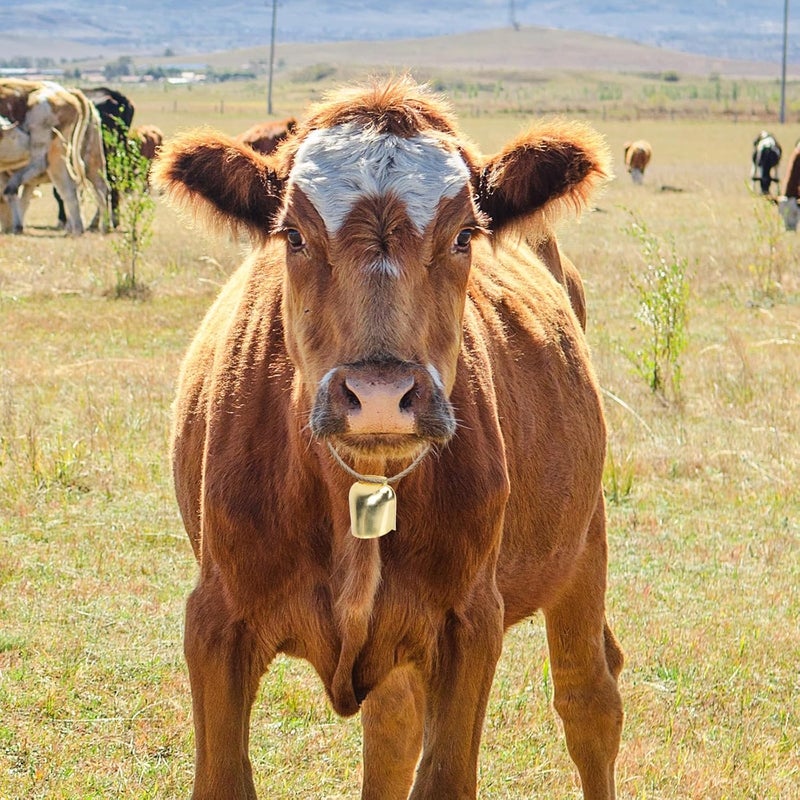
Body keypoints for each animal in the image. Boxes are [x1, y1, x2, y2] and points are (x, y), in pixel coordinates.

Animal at [0, 79, 109, 234]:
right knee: (81, 186)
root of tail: (68, 94)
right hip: (72, 155)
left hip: (43, 136)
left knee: (41, 165)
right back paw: (83, 228)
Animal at [153, 76, 623, 800]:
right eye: (292, 235)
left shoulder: (470, 624)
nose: (380, 395)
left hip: (582, 537)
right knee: (394, 728)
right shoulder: (214, 621)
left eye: (464, 236)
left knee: (589, 699)